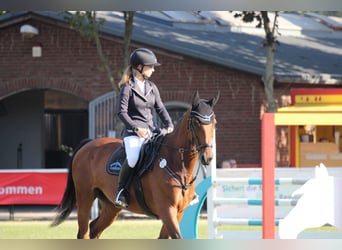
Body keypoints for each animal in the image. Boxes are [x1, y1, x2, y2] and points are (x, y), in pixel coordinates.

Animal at [52, 91, 220, 239]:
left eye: (214, 123)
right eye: (196, 123)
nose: (208, 157)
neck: (176, 164)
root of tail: (88, 144)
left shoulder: (178, 212)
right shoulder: (167, 210)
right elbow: (177, 236)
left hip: (112, 206)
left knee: (94, 229)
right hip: (85, 197)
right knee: (84, 233)